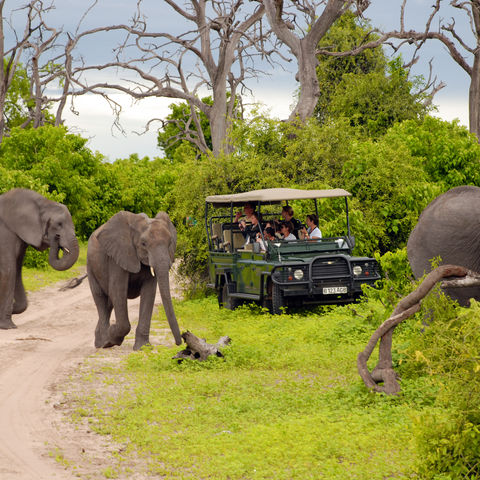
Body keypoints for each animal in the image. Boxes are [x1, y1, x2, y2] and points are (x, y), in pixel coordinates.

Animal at [0, 188, 79, 330]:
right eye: (58, 224)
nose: (56, 237)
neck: (41, 203)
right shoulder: (5, 233)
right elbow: (9, 271)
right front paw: (8, 326)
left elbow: (17, 271)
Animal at [87, 210, 183, 348]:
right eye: (143, 244)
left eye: (170, 242)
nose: (179, 342)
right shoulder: (117, 256)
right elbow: (118, 290)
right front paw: (113, 336)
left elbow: (149, 292)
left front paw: (142, 347)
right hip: (91, 266)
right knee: (100, 298)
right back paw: (105, 343)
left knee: (109, 303)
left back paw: (100, 341)